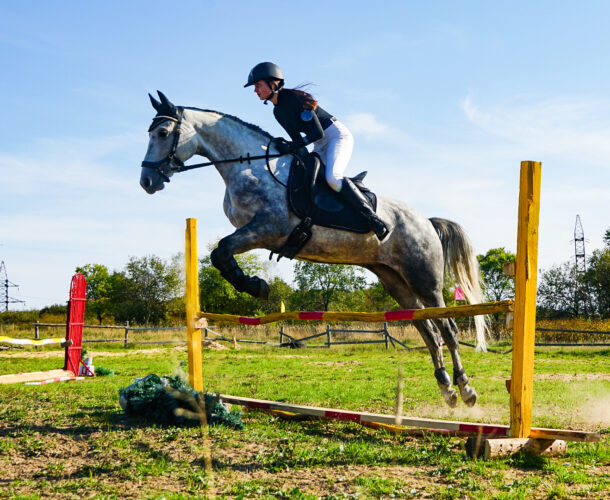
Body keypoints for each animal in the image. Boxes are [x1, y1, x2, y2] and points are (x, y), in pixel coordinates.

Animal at [140, 92, 486, 408]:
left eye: (162, 133)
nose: (147, 181)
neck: (248, 166)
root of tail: (427, 221)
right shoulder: (257, 232)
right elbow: (219, 253)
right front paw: (253, 284)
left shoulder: (268, 229)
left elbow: (221, 250)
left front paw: (255, 286)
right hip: (395, 281)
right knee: (427, 329)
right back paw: (446, 388)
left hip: (423, 278)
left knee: (447, 328)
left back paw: (465, 388)